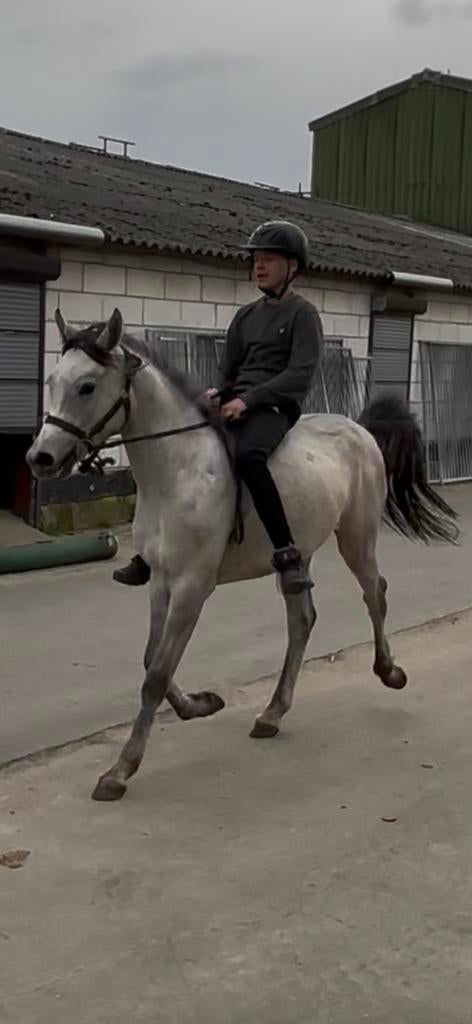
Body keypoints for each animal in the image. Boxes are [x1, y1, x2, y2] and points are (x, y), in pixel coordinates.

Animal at [27, 308, 458, 802]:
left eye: (87, 386)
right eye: (53, 380)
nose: (39, 458)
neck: (177, 471)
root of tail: (360, 430)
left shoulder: (193, 587)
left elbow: (156, 674)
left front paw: (120, 771)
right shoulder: (161, 581)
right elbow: (153, 660)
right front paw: (199, 705)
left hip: (357, 537)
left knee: (375, 594)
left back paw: (389, 671)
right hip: (299, 553)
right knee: (302, 619)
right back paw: (272, 713)